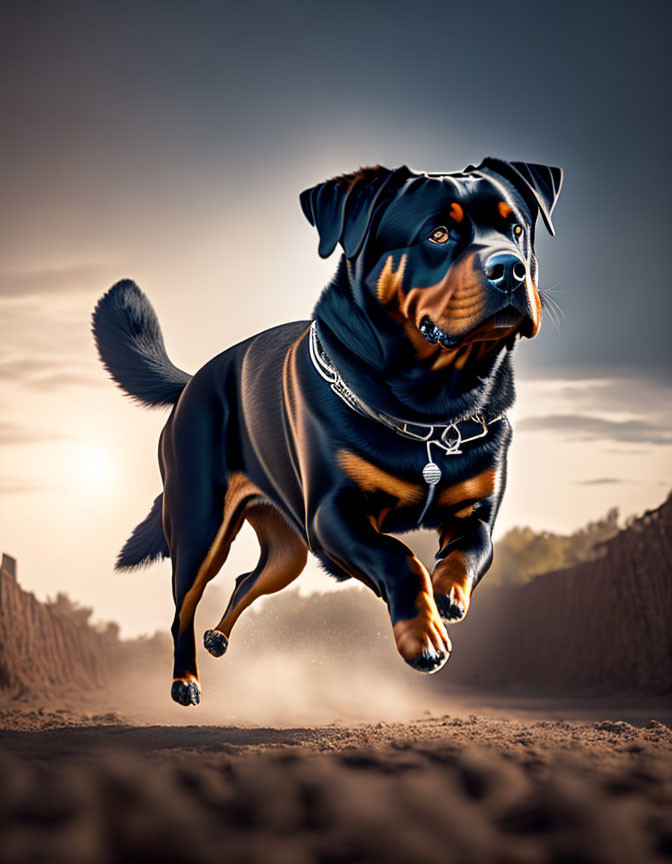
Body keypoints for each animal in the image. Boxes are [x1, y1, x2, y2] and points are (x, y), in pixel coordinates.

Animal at [90, 159, 560, 704]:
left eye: (517, 230)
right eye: (438, 233)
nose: (510, 268)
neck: (434, 406)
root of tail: (192, 381)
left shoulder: (477, 511)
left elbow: (469, 552)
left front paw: (446, 592)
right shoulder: (336, 514)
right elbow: (400, 557)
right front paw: (422, 636)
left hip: (288, 547)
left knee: (248, 578)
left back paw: (219, 637)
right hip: (199, 524)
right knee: (183, 605)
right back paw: (185, 680)